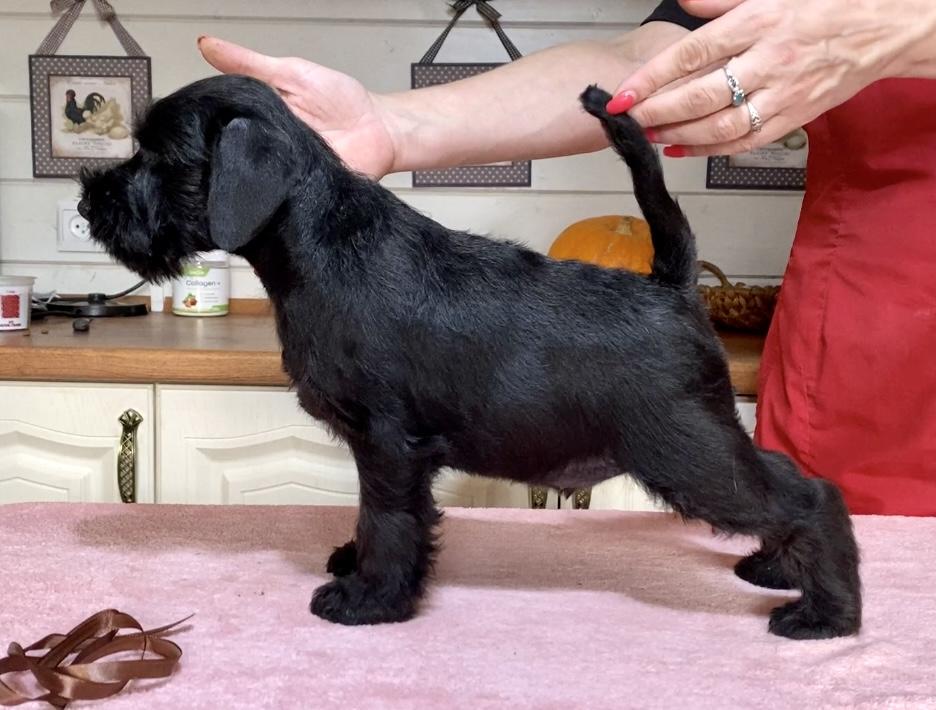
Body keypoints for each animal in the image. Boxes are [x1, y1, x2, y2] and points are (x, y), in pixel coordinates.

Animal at [79, 75, 861, 639]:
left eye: (160, 159)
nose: (89, 205)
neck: (319, 240)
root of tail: (671, 286)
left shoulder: (387, 442)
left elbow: (389, 519)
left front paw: (369, 598)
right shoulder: (386, 448)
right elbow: (385, 517)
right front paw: (363, 569)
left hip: (686, 453)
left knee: (808, 496)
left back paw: (826, 613)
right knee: (792, 481)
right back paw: (777, 569)